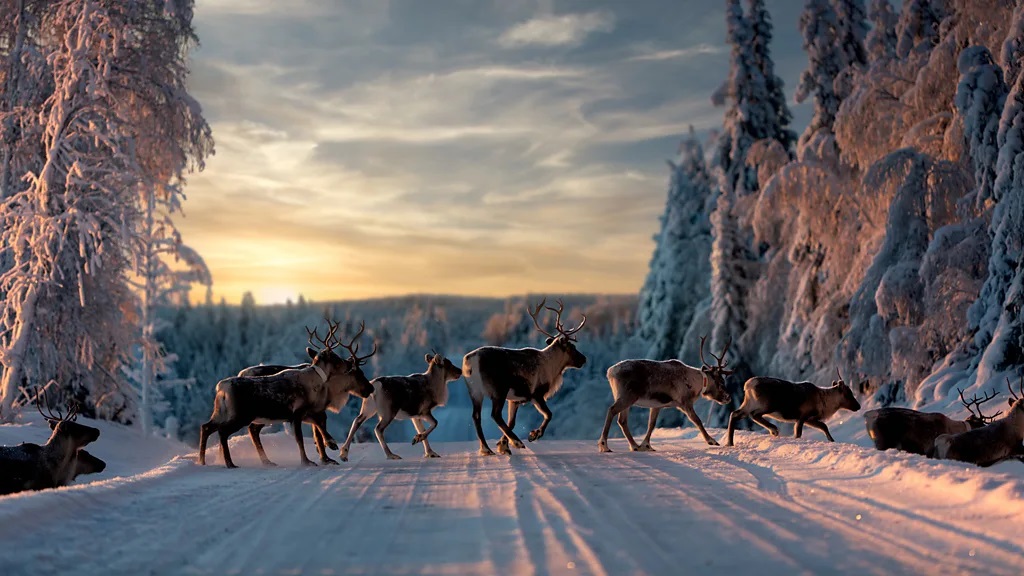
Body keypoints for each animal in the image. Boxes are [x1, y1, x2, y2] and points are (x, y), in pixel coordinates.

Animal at [724, 368, 860, 446]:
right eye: (848, 394)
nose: (858, 406)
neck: (824, 402)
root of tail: (747, 385)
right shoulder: (803, 416)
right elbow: (798, 432)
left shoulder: (810, 419)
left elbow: (824, 426)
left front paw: (832, 440)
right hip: (767, 405)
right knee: (754, 414)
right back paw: (774, 429)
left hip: (748, 403)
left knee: (734, 414)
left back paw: (729, 443)